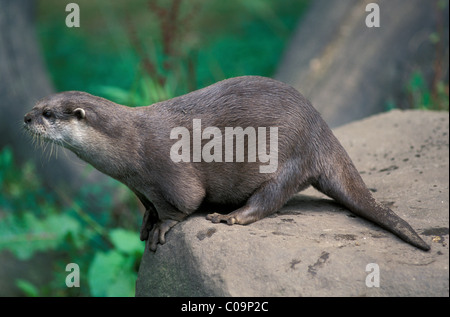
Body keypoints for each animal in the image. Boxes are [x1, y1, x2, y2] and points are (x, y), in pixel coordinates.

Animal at [22, 75, 430, 251]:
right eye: (38, 103)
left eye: (48, 114)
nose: (25, 117)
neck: (129, 147)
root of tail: (322, 131)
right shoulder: (139, 186)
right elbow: (149, 205)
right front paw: (146, 221)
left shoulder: (169, 172)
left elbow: (184, 204)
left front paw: (161, 228)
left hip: (291, 157)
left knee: (272, 198)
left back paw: (232, 216)